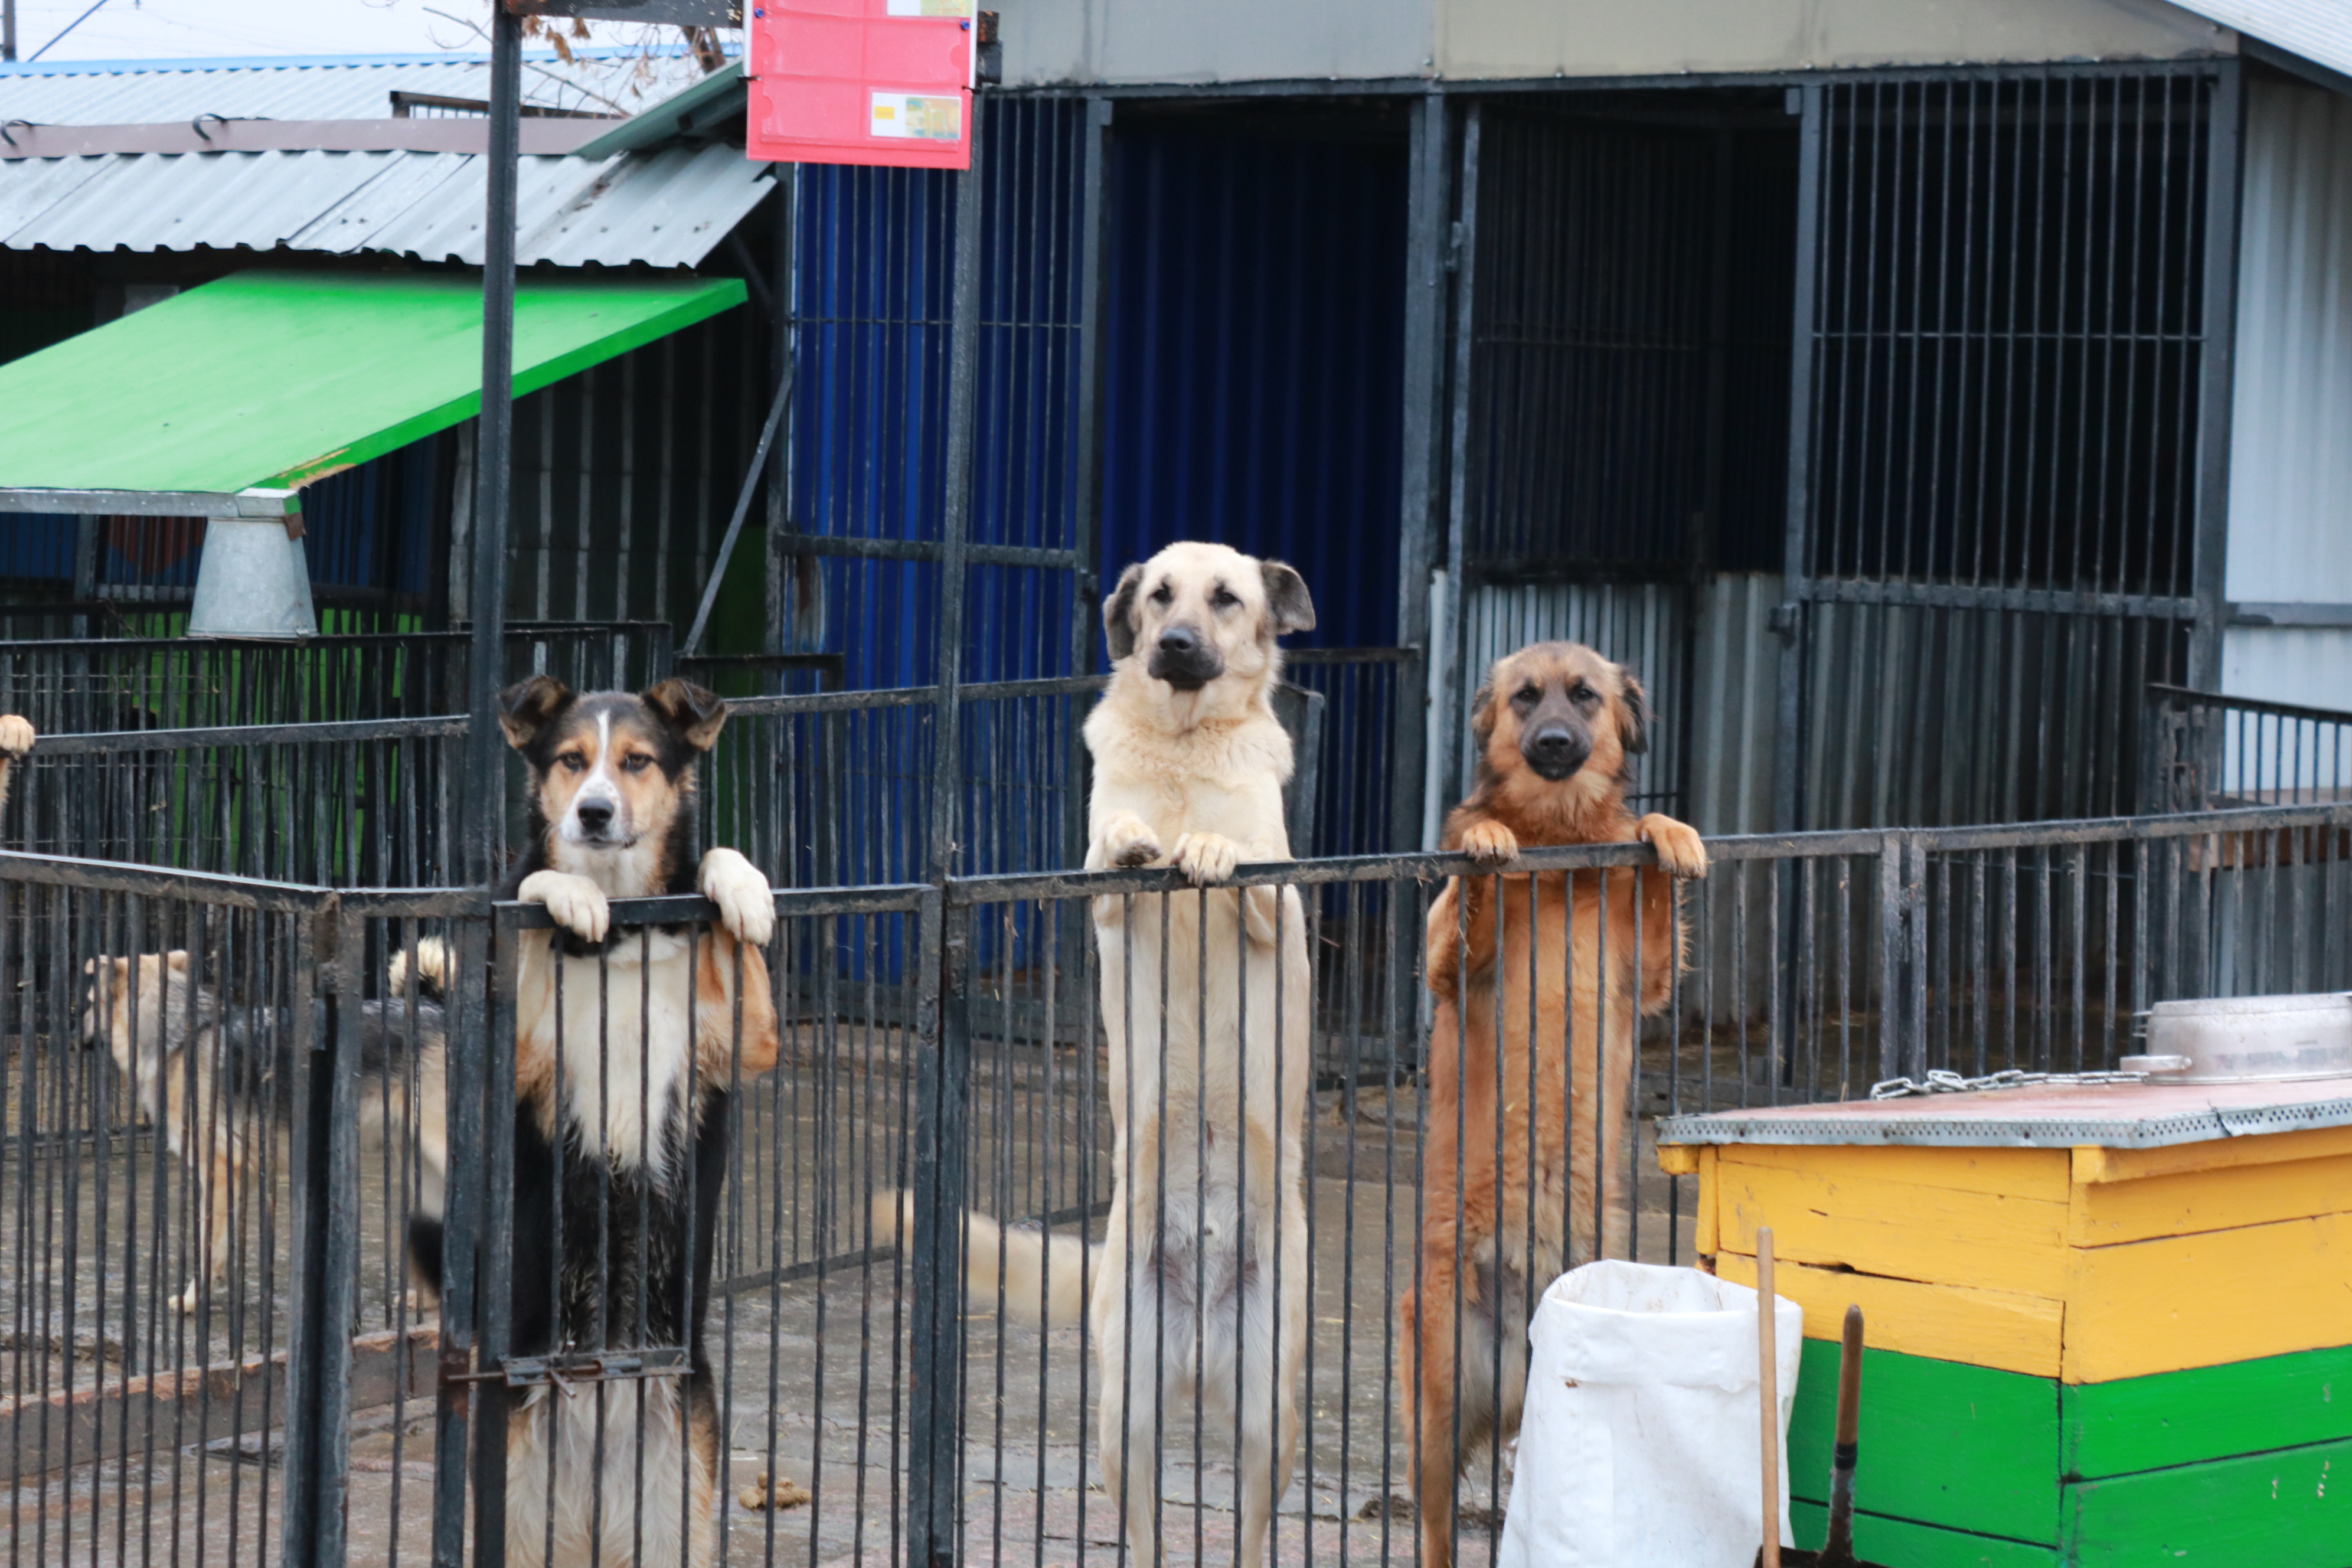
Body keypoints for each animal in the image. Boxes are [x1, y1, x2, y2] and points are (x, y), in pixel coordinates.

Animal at [1392, 639, 1712, 1568]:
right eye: (1527, 697)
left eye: (1585, 696)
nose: (1558, 742)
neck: (1562, 839)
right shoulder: (1451, 967)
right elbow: (1468, 895)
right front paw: (1487, 836)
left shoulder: (1646, 975)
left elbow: (1651, 866)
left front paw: (1668, 831)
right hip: (1433, 1410)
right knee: (1435, 1529)